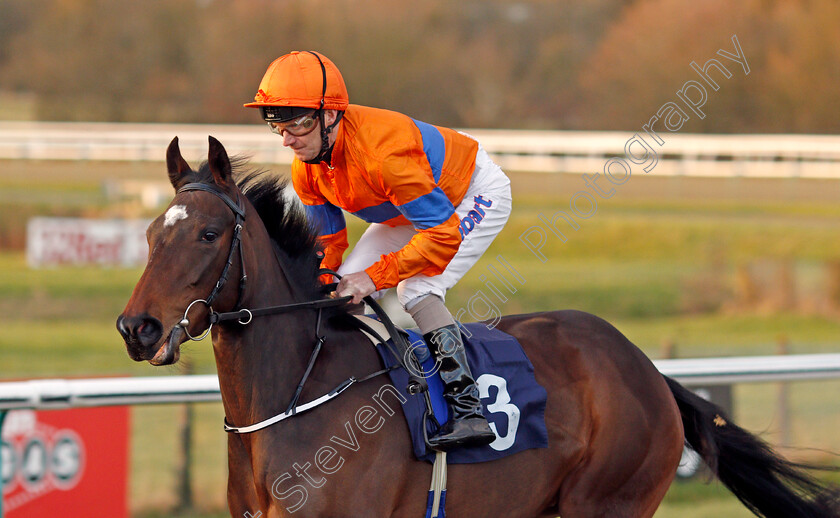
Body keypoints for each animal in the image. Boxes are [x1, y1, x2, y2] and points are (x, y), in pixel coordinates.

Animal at [118, 138, 840, 518]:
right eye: (152, 233)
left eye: (209, 234)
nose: (137, 328)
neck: (300, 395)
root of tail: (649, 371)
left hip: (608, 501)